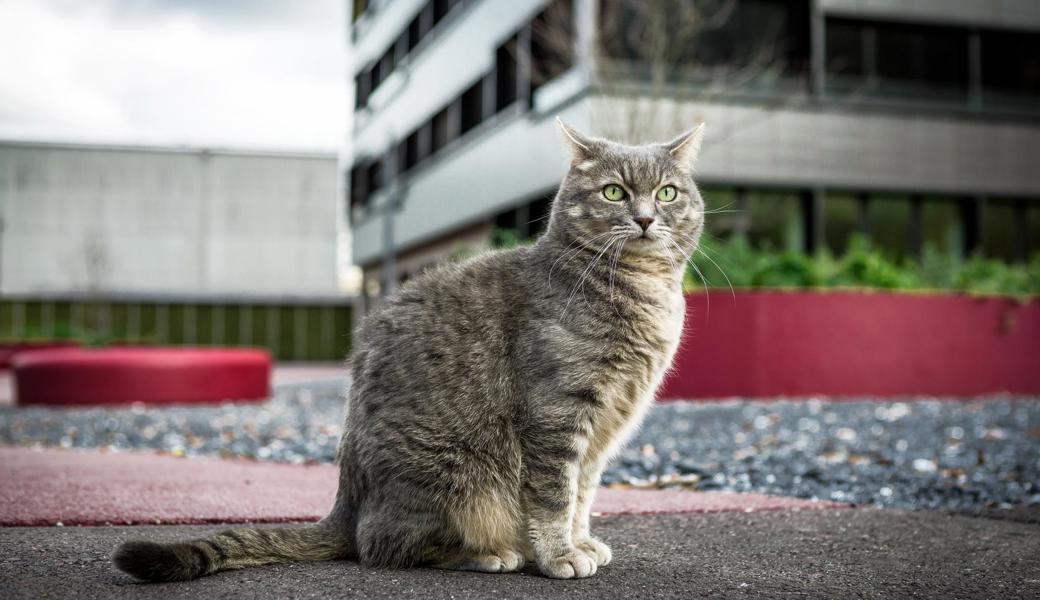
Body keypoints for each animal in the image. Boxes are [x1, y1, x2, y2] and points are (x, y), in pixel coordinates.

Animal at [111, 118, 707, 582]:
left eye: (668, 193)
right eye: (614, 192)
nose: (646, 217)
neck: (643, 292)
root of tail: (346, 504)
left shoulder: (604, 427)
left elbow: (582, 494)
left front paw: (581, 542)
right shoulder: (558, 413)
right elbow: (554, 494)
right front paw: (559, 553)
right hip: (458, 478)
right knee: (384, 546)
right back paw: (489, 554)